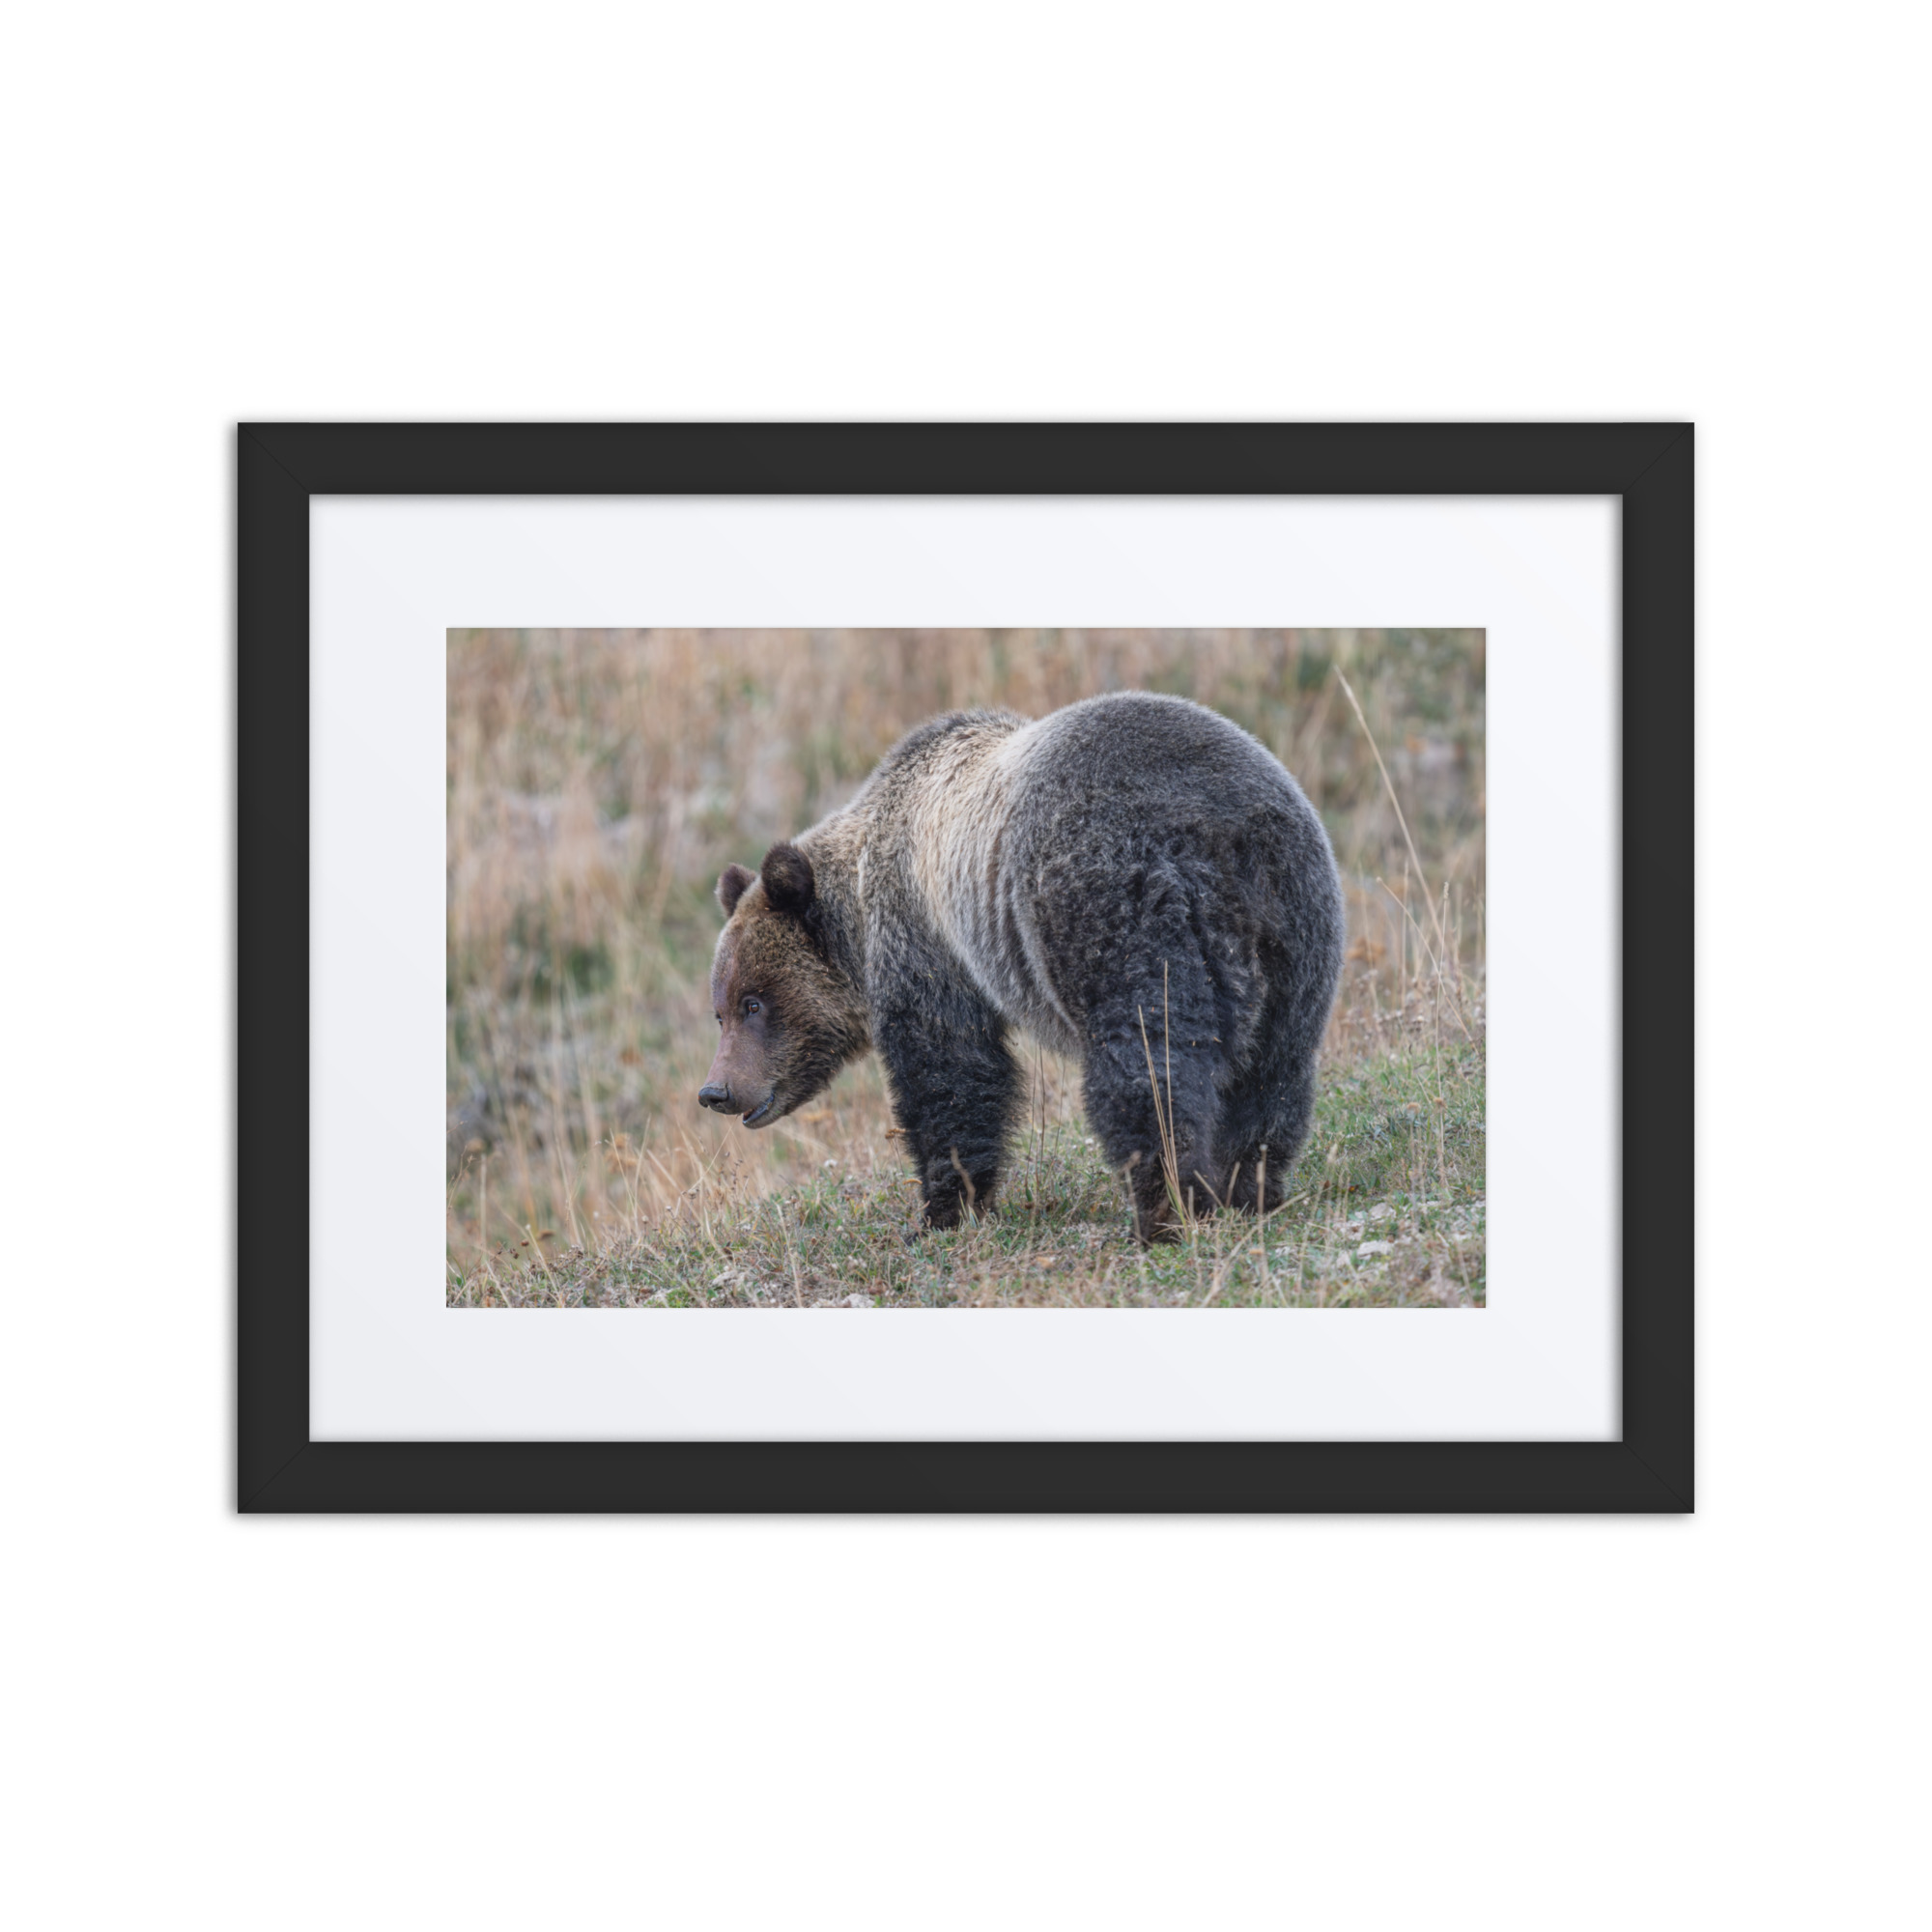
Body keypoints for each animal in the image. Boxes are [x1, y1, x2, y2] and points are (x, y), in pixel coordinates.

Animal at [698, 690, 1344, 1243]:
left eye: (754, 1002)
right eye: (720, 1010)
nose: (716, 1091)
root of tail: (1218, 832)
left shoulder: (927, 942)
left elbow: (951, 1073)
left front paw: (942, 1210)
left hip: (1113, 906)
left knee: (1148, 1065)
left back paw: (1165, 1210)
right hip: (1296, 925)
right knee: (1274, 1069)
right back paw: (1249, 1188)